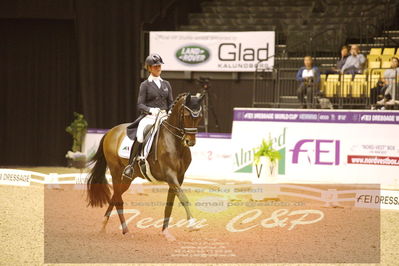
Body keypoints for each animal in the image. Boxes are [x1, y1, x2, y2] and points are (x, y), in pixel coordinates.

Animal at [86, 93, 205, 241]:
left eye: (199, 117)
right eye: (186, 116)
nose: (190, 142)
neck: (174, 142)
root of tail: (110, 131)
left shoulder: (178, 177)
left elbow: (170, 203)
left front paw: (166, 232)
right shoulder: (170, 175)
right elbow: (183, 198)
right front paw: (193, 224)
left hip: (127, 178)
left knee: (116, 196)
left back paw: (109, 227)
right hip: (115, 171)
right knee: (118, 199)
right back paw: (121, 229)